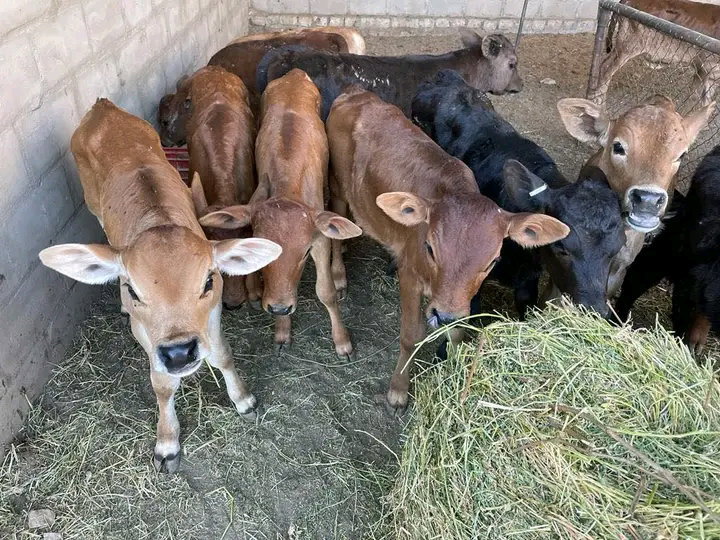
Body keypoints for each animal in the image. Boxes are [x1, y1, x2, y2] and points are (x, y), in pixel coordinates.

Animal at [38, 99, 281, 473]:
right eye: (132, 290)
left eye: (209, 281)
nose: (180, 353)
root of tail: (102, 106)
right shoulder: (147, 334)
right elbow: (163, 384)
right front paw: (167, 444)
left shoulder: (212, 314)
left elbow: (222, 354)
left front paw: (244, 401)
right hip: (93, 203)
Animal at [198, 70, 362, 355]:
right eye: (266, 252)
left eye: (305, 253)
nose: (280, 307)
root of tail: (294, 73)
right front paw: (282, 330)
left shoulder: (319, 239)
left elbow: (326, 292)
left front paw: (342, 341)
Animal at [326, 88, 569, 415]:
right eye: (430, 247)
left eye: (493, 260)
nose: (443, 315)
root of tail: (355, 93)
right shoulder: (410, 275)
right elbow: (410, 336)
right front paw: (398, 391)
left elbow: (457, 334)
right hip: (338, 185)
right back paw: (338, 276)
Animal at [587, 0, 720, 107]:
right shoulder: (703, 67)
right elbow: (693, 100)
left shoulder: (713, 74)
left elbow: (706, 103)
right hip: (628, 45)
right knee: (606, 67)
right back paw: (599, 102)